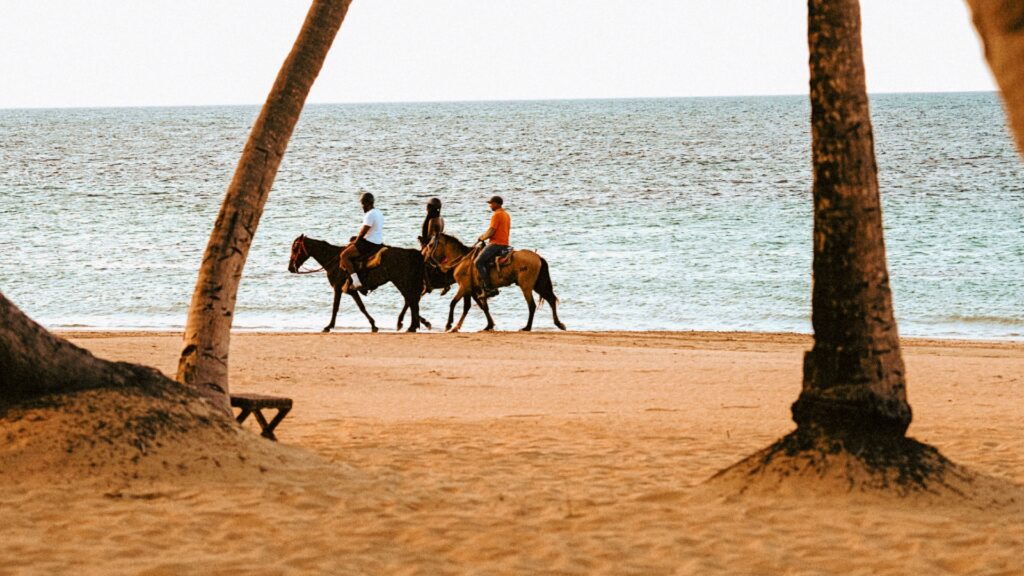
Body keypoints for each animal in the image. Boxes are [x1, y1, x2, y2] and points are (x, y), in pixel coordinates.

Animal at [290, 233, 430, 332]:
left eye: (295, 248)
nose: (290, 267)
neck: (333, 260)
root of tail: (411, 252)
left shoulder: (337, 287)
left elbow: (335, 307)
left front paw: (328, 326)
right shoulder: (351, 291)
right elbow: (361, 307)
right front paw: (373, 325)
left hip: (401, 281)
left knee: (411, 299)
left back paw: (411, 325)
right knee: (411, 300)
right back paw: (414, 325)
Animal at [425, 233, 569, 332]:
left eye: (431, 245)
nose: (425, 258)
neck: (464, 260)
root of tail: (538, 257)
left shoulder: (464, 287)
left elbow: (454, 303)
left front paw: (449, 325)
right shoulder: (472, 289)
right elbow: (481, 307)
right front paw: (488, 325)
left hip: (527, 286)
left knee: (532, 305)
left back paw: (527, 327)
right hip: (538, 284)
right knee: (550, 299)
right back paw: (559, 324)